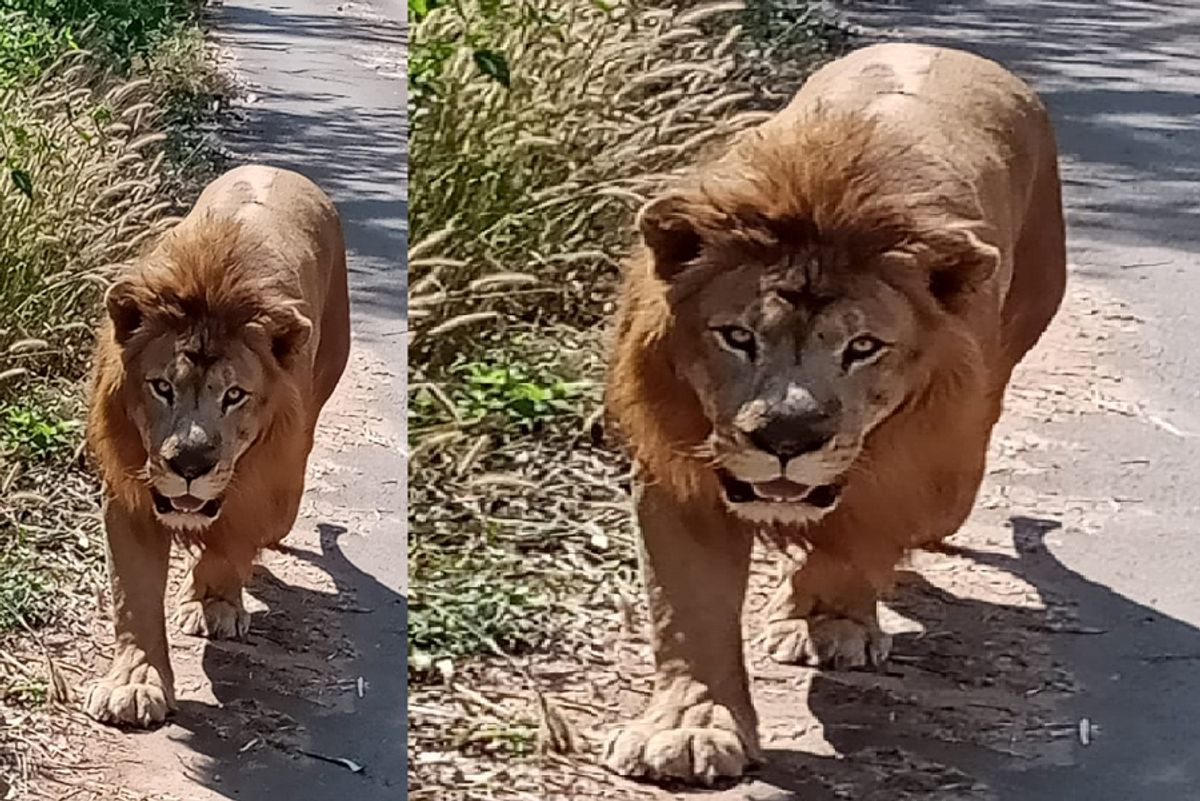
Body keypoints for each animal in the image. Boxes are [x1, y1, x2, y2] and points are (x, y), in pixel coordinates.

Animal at [81, 163, 348, 724]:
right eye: (162, 387)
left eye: (234, 395)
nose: (189, 464)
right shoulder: (128, 495)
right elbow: (133, 597)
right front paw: (133, 684)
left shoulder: (261, 488)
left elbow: (230, 544)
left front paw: (214, 605)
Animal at [604, 42, 1065, 781]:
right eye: (738, 336)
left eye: (862, 347)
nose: (787, 437)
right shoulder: (678, 475)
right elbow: (687, 612)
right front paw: (688, 728)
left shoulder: (908, 470)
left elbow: (852, 541)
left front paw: (827, 622)